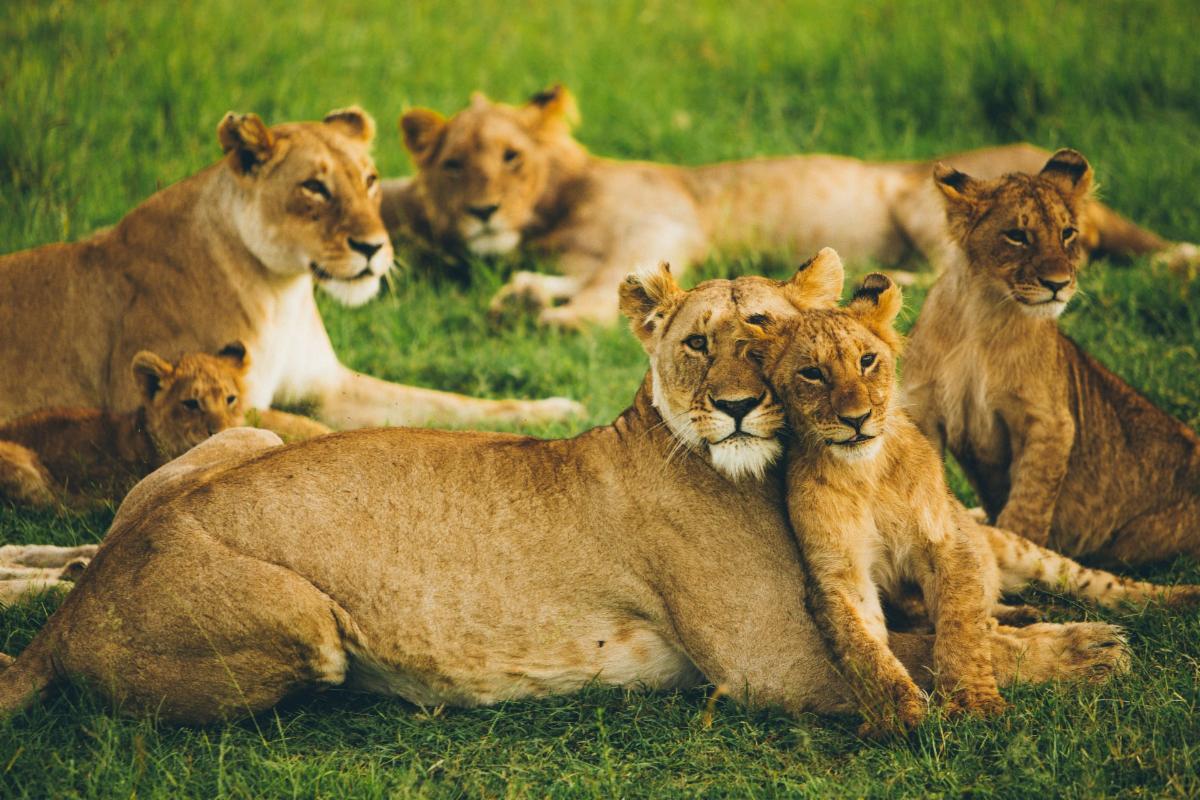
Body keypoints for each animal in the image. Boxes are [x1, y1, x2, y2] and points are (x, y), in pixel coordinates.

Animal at [0, 107, 582, 431]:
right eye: (314, 187)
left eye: (370, 179)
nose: (373, 247)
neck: (282, 292)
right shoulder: (186, 400)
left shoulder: (331, 387)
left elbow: (448, 402)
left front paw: (555, 410)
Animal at [0, 263, 1127, 726]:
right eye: (697, 344)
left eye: (766, 330)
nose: (734, 407)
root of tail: (71, 616)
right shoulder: (773, 664)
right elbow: (919, 653)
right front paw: (1087, 650)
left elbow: (950, 620)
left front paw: (1041, 620)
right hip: (307, 622)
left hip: (240, 433)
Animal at [382, 84, 1198, 329]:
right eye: (454, 165)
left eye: (510, 158)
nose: (483, 212)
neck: (552, 211)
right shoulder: (591, 252)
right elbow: (577, 279)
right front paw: (522, 294)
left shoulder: (660, 225)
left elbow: (600, 292)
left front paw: (552, 318)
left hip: (921, 199)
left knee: (956, 273)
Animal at [904, 149, 1200, 566]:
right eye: (1017, 235)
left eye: (1067, 233)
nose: (1058, 284)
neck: (982, 314)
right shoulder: (923, 410)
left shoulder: (1050, 421)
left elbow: (1028, 503)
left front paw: (1017, 556)